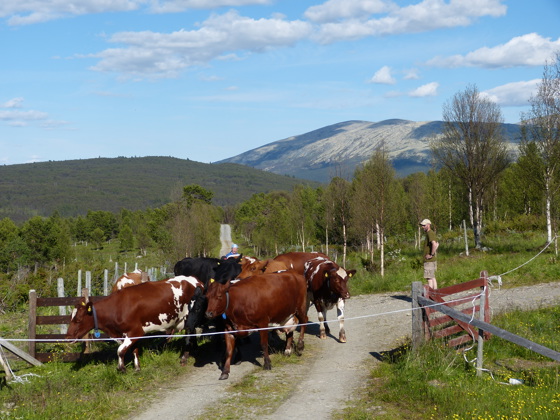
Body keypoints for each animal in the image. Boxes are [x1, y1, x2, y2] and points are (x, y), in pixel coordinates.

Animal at [66, 278, 203, 372]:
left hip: (188, 318)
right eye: (70, 318)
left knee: (189, 335)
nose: (68, 338)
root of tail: (195, 280)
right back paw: (195, 350)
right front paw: (137, 368)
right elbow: (134, 350)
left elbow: (120, 350)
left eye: (78, 320)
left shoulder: (135, 331)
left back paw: (184, 357)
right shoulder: (130, 334)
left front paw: (121, 368)